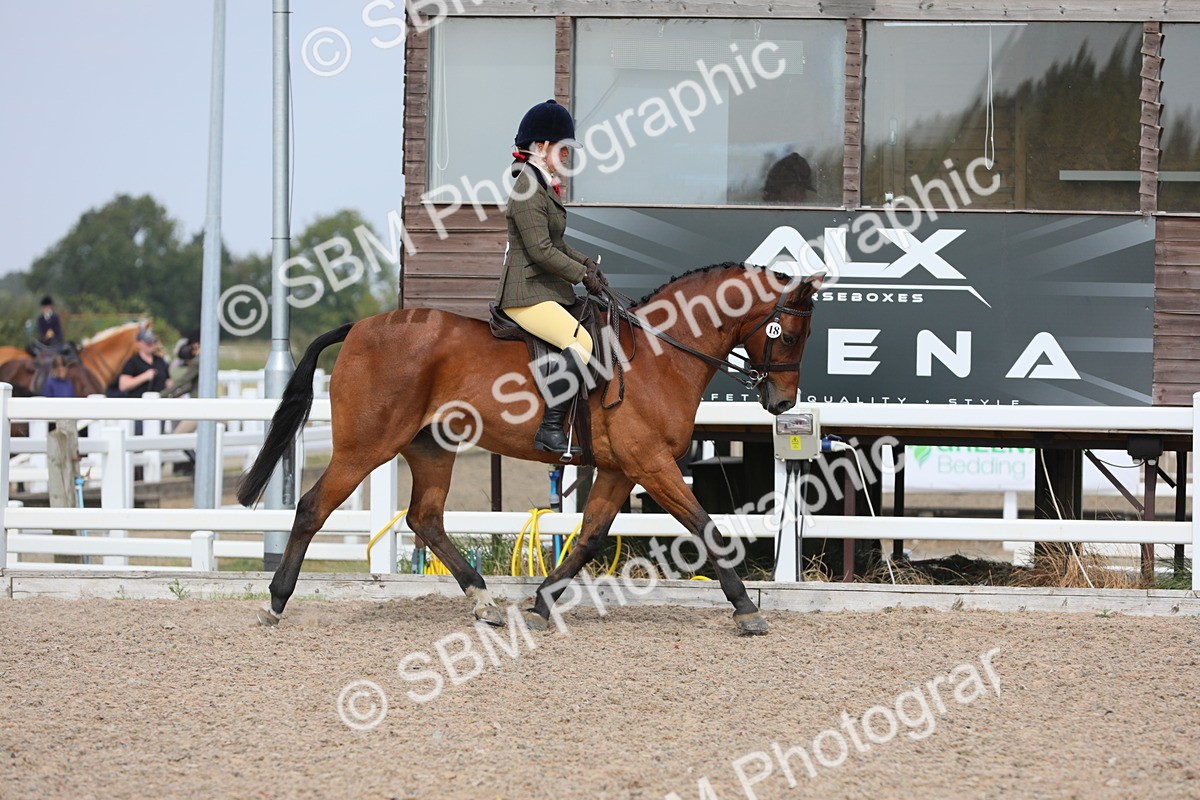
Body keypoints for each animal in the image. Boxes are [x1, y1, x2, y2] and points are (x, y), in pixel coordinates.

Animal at [238, 264, 824, 635]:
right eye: (791, 335)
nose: (782, 401)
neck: (659, 355)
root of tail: (359, 326)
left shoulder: (621, 469)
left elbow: (588, 538)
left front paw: (541, 604)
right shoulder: (651, 463)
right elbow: (706, 528)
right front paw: (746, 610)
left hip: (431, 448)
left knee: (426, 518)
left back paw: (484, 603)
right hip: (366, 447)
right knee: (313, 507)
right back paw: (275, 603)